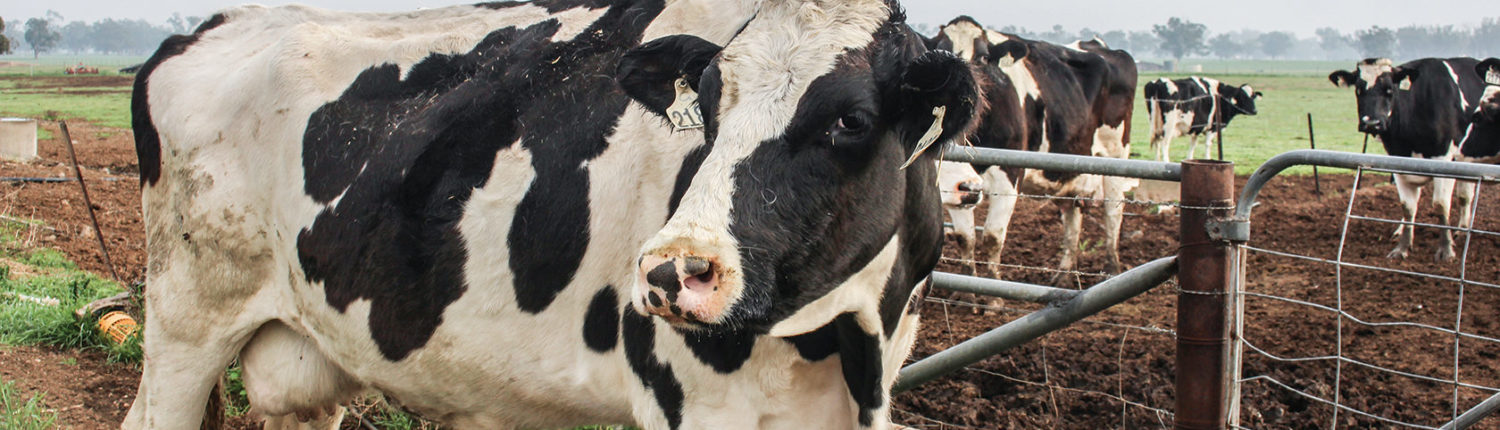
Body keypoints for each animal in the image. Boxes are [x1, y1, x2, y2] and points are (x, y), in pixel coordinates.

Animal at [126, 0, 984, 430]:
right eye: (706, 103)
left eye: (851, 120)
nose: (673, 272)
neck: (846, 341)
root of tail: (218, 24)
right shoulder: (692, 404)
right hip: (184, 319)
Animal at [924, 15, 1134, 281]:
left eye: (983, 57)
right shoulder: (961, 183)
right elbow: (965, 238)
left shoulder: (1009, 176)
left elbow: (992, 238)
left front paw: (993, 289)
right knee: (1072, 215)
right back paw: (1063, 274)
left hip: (1116, 155)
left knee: (1113, 211)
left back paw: (1112, 269)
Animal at [1332, 55, 1482, 260]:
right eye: (1358, 90)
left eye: (1390, 90)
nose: (1371, 123)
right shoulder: (1399, 163)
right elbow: (1408, 207)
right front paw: (1402, 248)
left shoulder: (1444, 160)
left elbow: (1440, 204)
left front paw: (1446, 250)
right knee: (1465, 196)